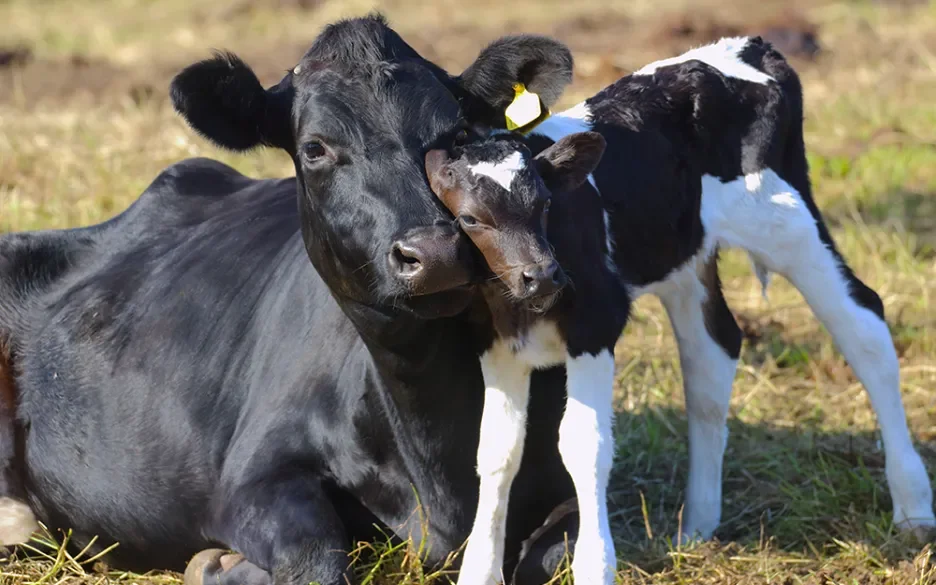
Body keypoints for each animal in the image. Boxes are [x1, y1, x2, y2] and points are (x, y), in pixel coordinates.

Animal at [0, 13, 584, 584]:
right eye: (315, 149)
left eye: (458, 134)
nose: (437, 251)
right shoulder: (254, 476)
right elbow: (316, 559)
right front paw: (217, 565)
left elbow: (555, 552)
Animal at [428, 131, 624, 584]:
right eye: (469, 219)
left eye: (546, 204)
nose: (543, 276)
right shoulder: (496, 343)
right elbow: (498, 447)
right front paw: (479, 567)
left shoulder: (598, 324)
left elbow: (583, 441)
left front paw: (595, 563)